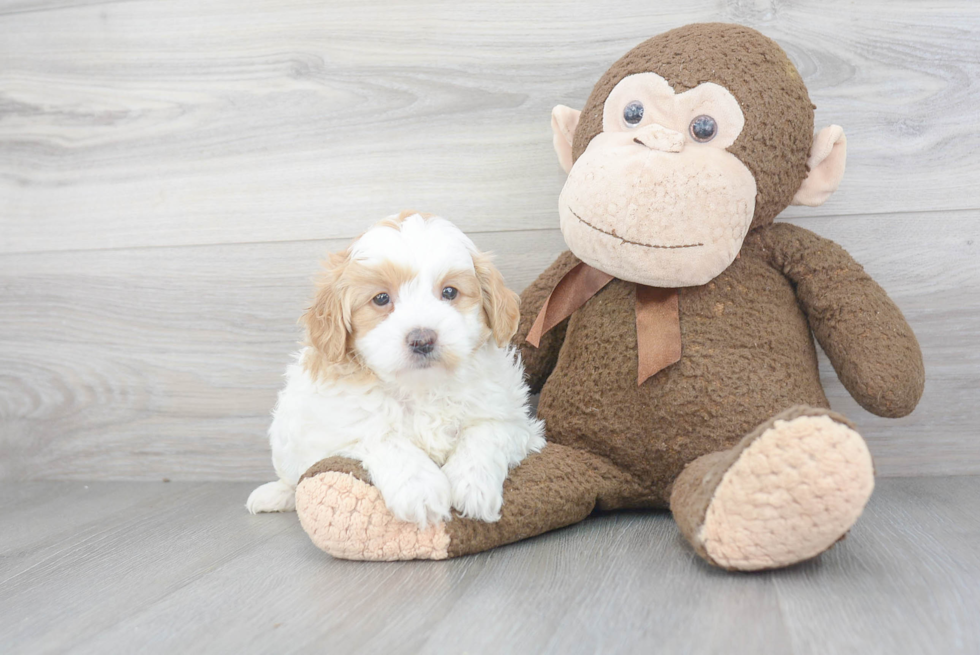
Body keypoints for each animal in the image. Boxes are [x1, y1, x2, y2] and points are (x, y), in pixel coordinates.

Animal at [247, 213, 544, 524]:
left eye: (450, 292)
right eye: (381, 298)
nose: (422, 340)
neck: (422, 386)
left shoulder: (514, 422)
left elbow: (485, 433)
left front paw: (473, 484)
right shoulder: (342, 430)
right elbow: (385, 439)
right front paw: (421, 490)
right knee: (291, 477)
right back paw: (273, 494)